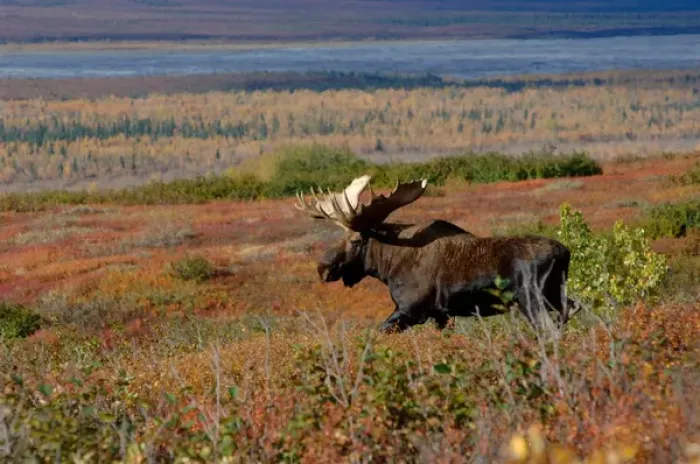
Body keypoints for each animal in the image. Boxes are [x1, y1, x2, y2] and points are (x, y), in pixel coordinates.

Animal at [294, 174, 579, 333]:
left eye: (355, 241)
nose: (323, 268)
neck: (388, 266)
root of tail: (564, 252)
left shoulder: (410, 310)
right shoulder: (442, 314)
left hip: (531, 299)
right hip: (555, 295)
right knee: (572, 309)